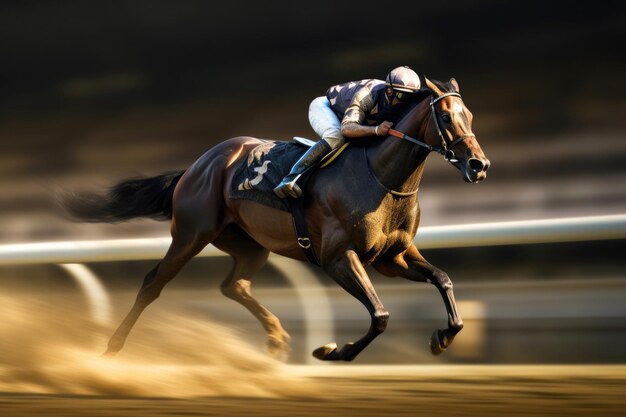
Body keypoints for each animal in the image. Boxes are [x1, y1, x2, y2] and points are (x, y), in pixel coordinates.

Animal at [67, 76, 488, 360]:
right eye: (446, 117)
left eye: (469, 114)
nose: (478, 165)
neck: (380, 176)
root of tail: (198, 164)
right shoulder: (339, 258)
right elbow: (380, 315)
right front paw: (333, 351)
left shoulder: (392, 257)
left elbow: (443, 279)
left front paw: (442, 337)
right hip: (191, 233)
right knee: (154, 282)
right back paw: (112, 347)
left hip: (249, 244)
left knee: (234, 286)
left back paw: (276, 338)